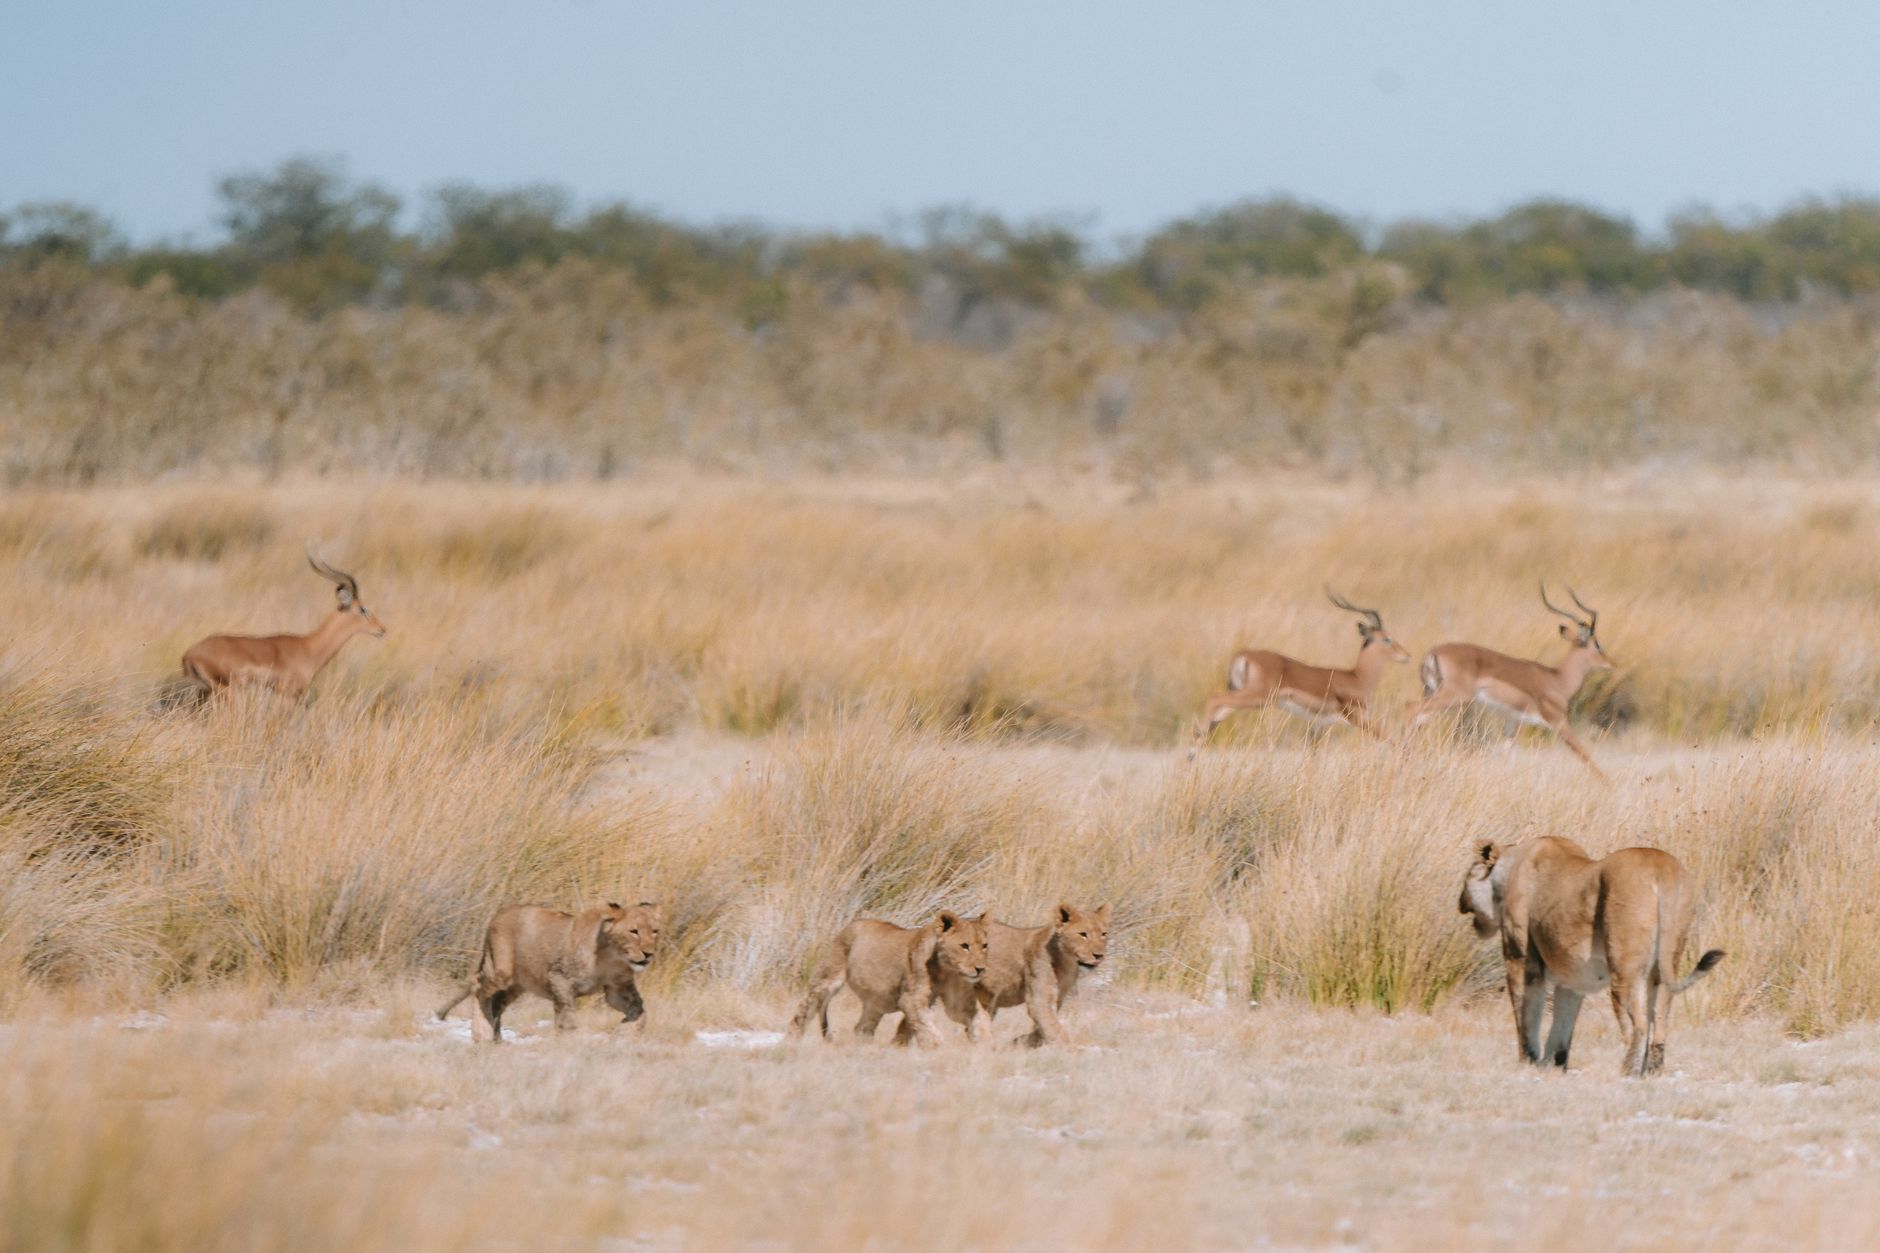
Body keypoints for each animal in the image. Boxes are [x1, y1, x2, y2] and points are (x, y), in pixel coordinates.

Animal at [435, 901, 662, 1043]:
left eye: (654, 931)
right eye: (634, 931)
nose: (649, 954)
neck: (612, 957)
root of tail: (499, 912)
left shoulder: (618, 988)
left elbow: (639, 1011)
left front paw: (623, 1035)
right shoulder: (560, 978)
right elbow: (568, 1018)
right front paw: (569, 1044)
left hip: (517, 984)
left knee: (496, 1003)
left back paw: (497, 1039)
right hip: (501, 971)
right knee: (478, 987)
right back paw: (481, 1034)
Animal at [787, 910, 989, 1046]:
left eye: (985, 945)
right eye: (965, 946)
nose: (981, 969)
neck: (947, 971)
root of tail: (851, 924)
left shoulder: (958, 1003)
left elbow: (978, 1019)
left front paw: (986, 1047)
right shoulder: (910, 999)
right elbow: (928, 1031)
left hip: (876, 1001)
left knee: (861, 1028)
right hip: (826, 980)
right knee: (803, 1013)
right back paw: (791, 1043)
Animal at [930, 903, 1110, 1047]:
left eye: (1103, 934)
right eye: (1083, 934)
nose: (1099, 955)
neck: (1068, 963)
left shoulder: (1055, 999)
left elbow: (1044, 1028)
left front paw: (1019, 1042)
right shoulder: (1038, 1001)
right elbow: (1056, 1030)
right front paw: (1073, 1052)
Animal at [1459, 837, 1723, 1076]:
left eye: (1468, 874)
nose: (1460, 903)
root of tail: (1660, 867)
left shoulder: (1521, 962)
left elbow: (1526, 1015)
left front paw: (1528, 1062)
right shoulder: (1572, 978)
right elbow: (1562, 1024)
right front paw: (1553, 1065)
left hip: (1624, 969)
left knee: (1638, 1024)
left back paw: (1628, 1071)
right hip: (1666, 963)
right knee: (1659, 1020)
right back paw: (1652, 1071)